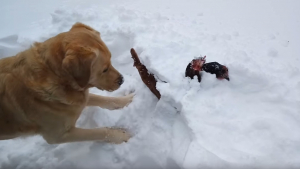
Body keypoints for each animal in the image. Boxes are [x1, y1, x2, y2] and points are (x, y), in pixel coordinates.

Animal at [0, 22, 134, 144]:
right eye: (104, 69)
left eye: (111, 60)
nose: (122, 80)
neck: (55, 74)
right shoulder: (59, 135)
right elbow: (99, 132)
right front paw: (121, 135)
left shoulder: (78, 98)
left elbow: (105, 100)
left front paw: (128, 100)